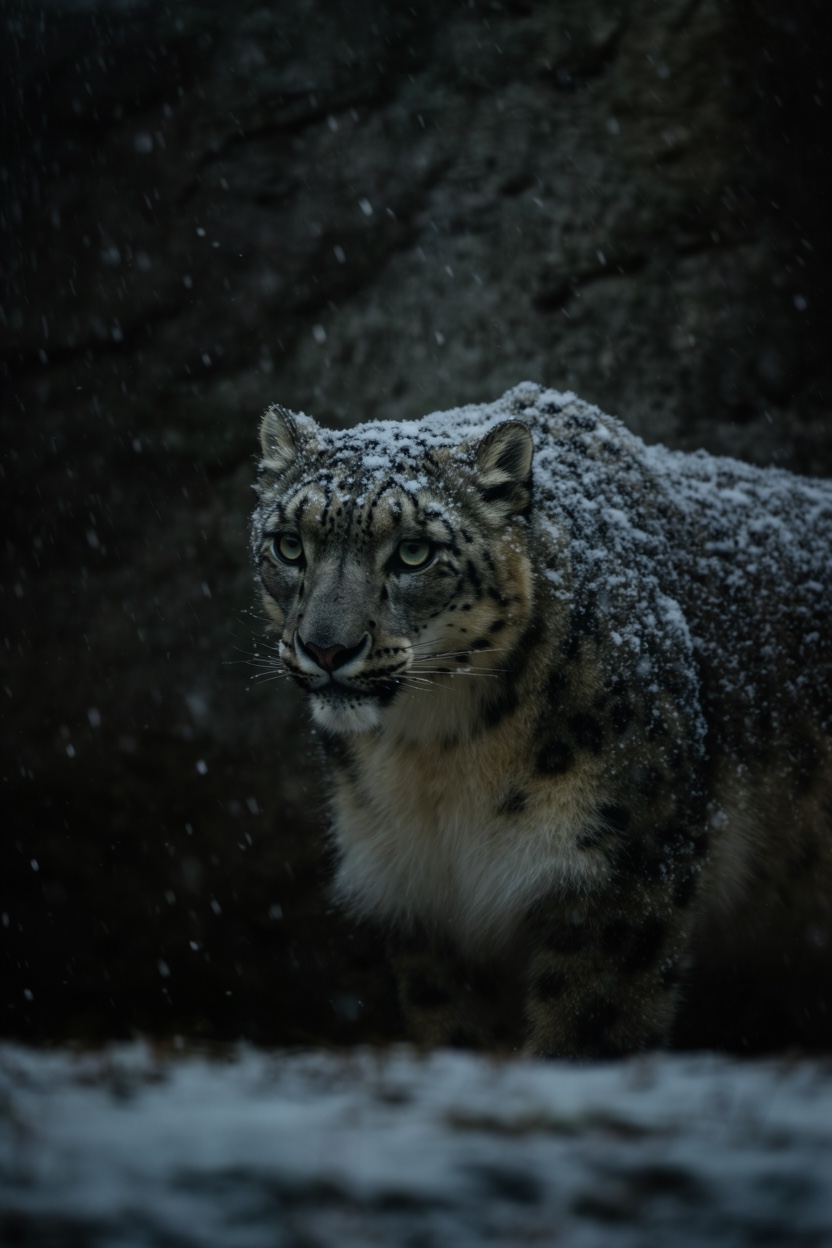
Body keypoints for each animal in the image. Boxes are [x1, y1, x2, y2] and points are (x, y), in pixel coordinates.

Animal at [251, 381, 832, 1057]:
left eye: (415, 552)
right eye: (289, 544)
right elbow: (453, 1030)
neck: (434, 756)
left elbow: (587, 1025)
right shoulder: (423, 900)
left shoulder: (620, 872)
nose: (325, 649)